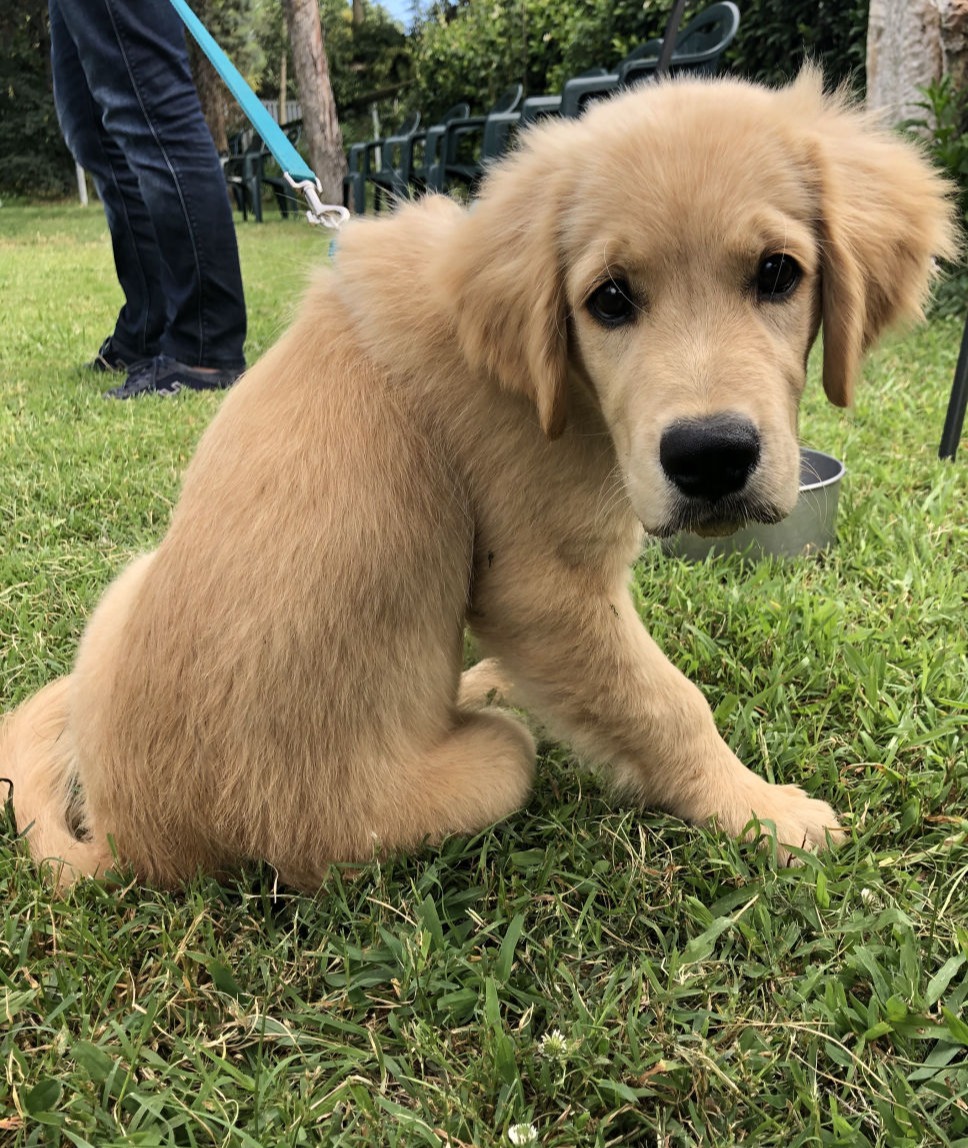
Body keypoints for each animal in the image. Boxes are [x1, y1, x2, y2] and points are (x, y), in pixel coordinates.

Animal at [0, 67, 955, 886]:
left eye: (778, 273)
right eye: (610, 299)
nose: (711, 455)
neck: (551, 377)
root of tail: (136, 844)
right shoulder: (544, 588)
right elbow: (665, 703)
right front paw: (757, 811)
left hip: (123, 592)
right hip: (488, 765)